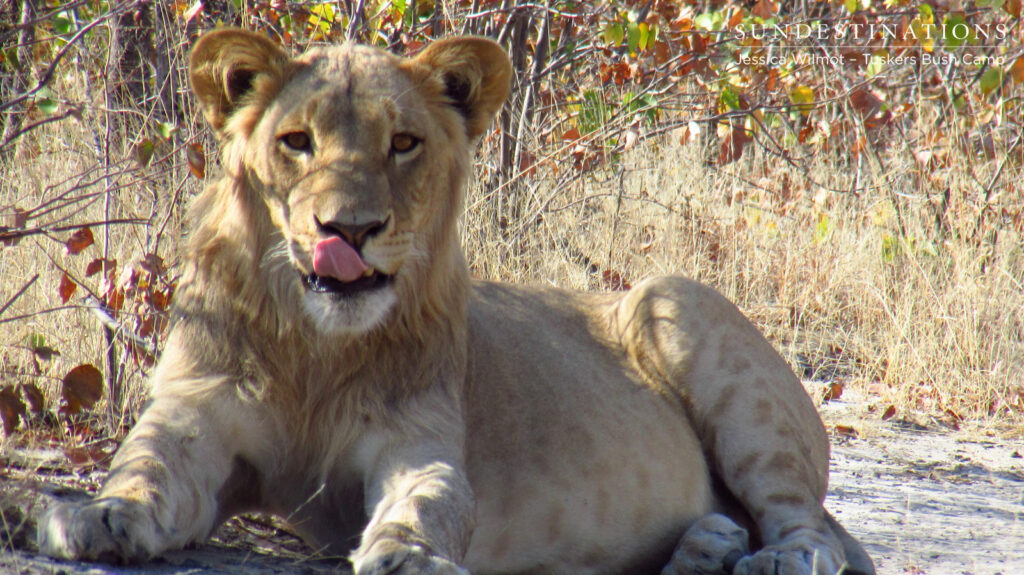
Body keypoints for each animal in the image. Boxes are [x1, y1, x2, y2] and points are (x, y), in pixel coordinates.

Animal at [38, 29, 874, 575]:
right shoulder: (198, 411)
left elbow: (430, 500)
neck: (316, 348)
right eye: (296, 142)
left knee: (814, 527)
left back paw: (774, 558)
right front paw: (96, 514)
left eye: (404, 143)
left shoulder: (420, 439)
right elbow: (144, 461)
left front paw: (408, 556)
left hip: (674, 298)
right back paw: (709, 547)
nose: (350, 229)